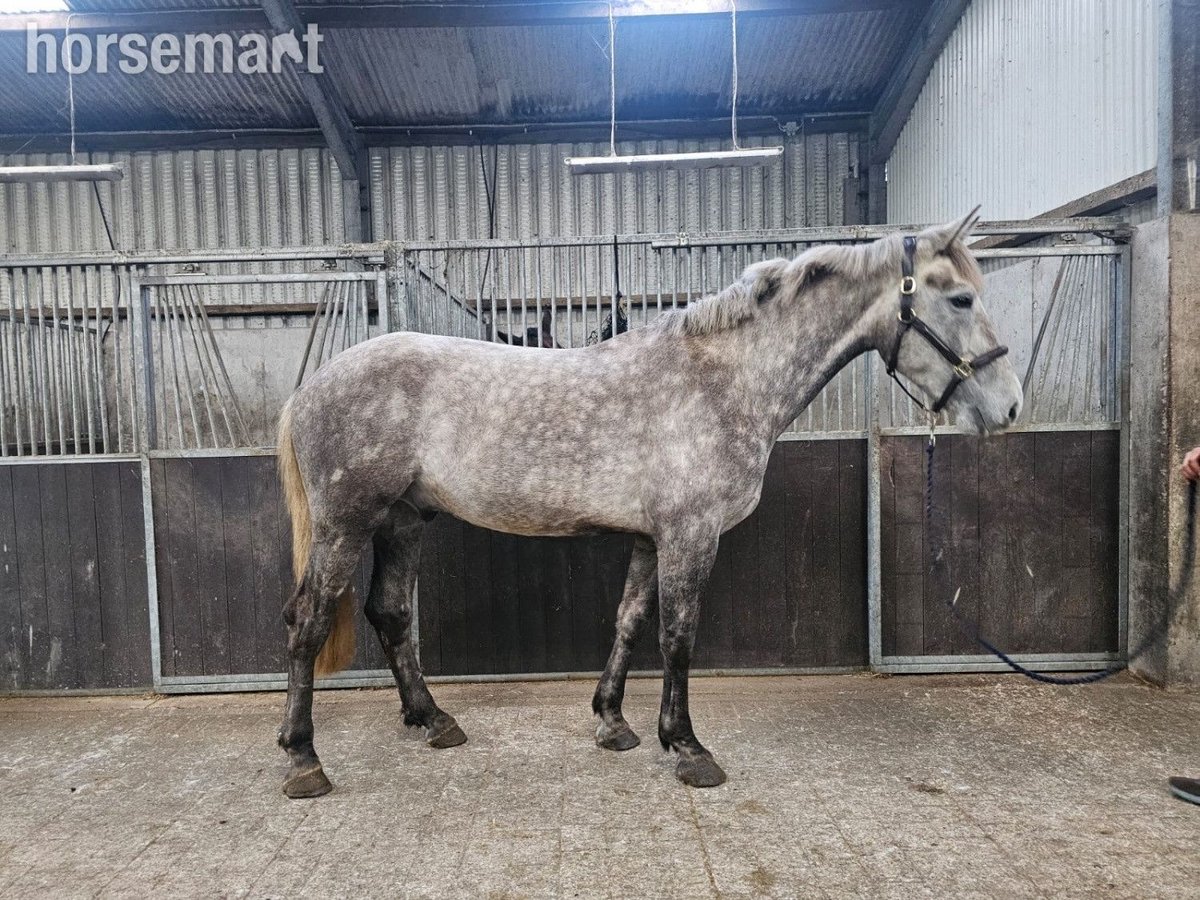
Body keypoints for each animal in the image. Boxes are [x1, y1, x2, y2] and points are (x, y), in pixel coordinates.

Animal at [274, 213, 1023, 798]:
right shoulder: (690, 533)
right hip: (345, 525)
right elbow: (677, 636)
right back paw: (303, 759)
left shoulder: (649, 536)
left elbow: (631, 622)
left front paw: (614, 723)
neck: (722, 381)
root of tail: (311, 388)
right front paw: (688, 747)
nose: (1009, 407)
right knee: (309, 623)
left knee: (390, 614)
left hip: (402, 522)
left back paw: (434, 721)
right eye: (960, 298)